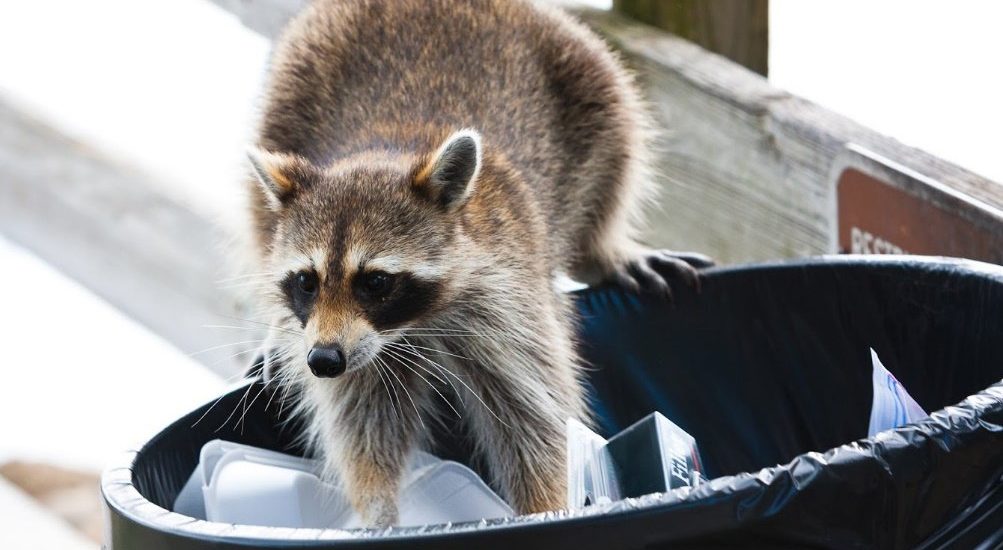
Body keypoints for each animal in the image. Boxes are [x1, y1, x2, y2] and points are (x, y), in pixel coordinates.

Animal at [243, 0, 710, 527]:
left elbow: (536, 416)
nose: (323, 361)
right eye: (307, 281)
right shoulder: (352, 345)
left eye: (376, 282)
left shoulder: (510, 298)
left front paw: (546, 506)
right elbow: (362, 420)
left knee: (617, 150)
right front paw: (378, 509)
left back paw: (603, 249)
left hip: (585, 75)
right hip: (290, 89)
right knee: (259, 212)